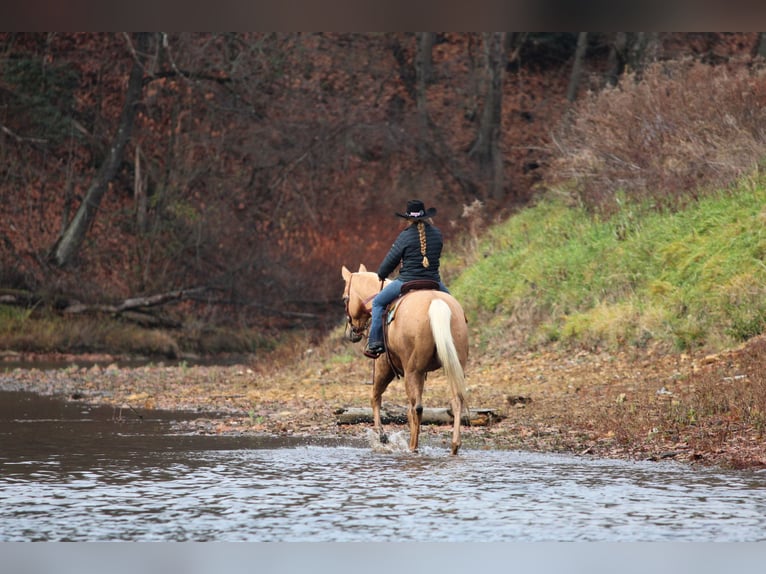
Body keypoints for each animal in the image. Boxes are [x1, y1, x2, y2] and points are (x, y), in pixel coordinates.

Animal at [341, 264, 469, 455]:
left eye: (344, 299)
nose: (351, 333)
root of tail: (435, 302)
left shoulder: (383, 366)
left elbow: (375, 397)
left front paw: (382, 436)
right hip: (451, 367)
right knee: (456, 401)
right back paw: (454, 445)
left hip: (411, 371)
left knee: (416, 408)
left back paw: (412, 447)